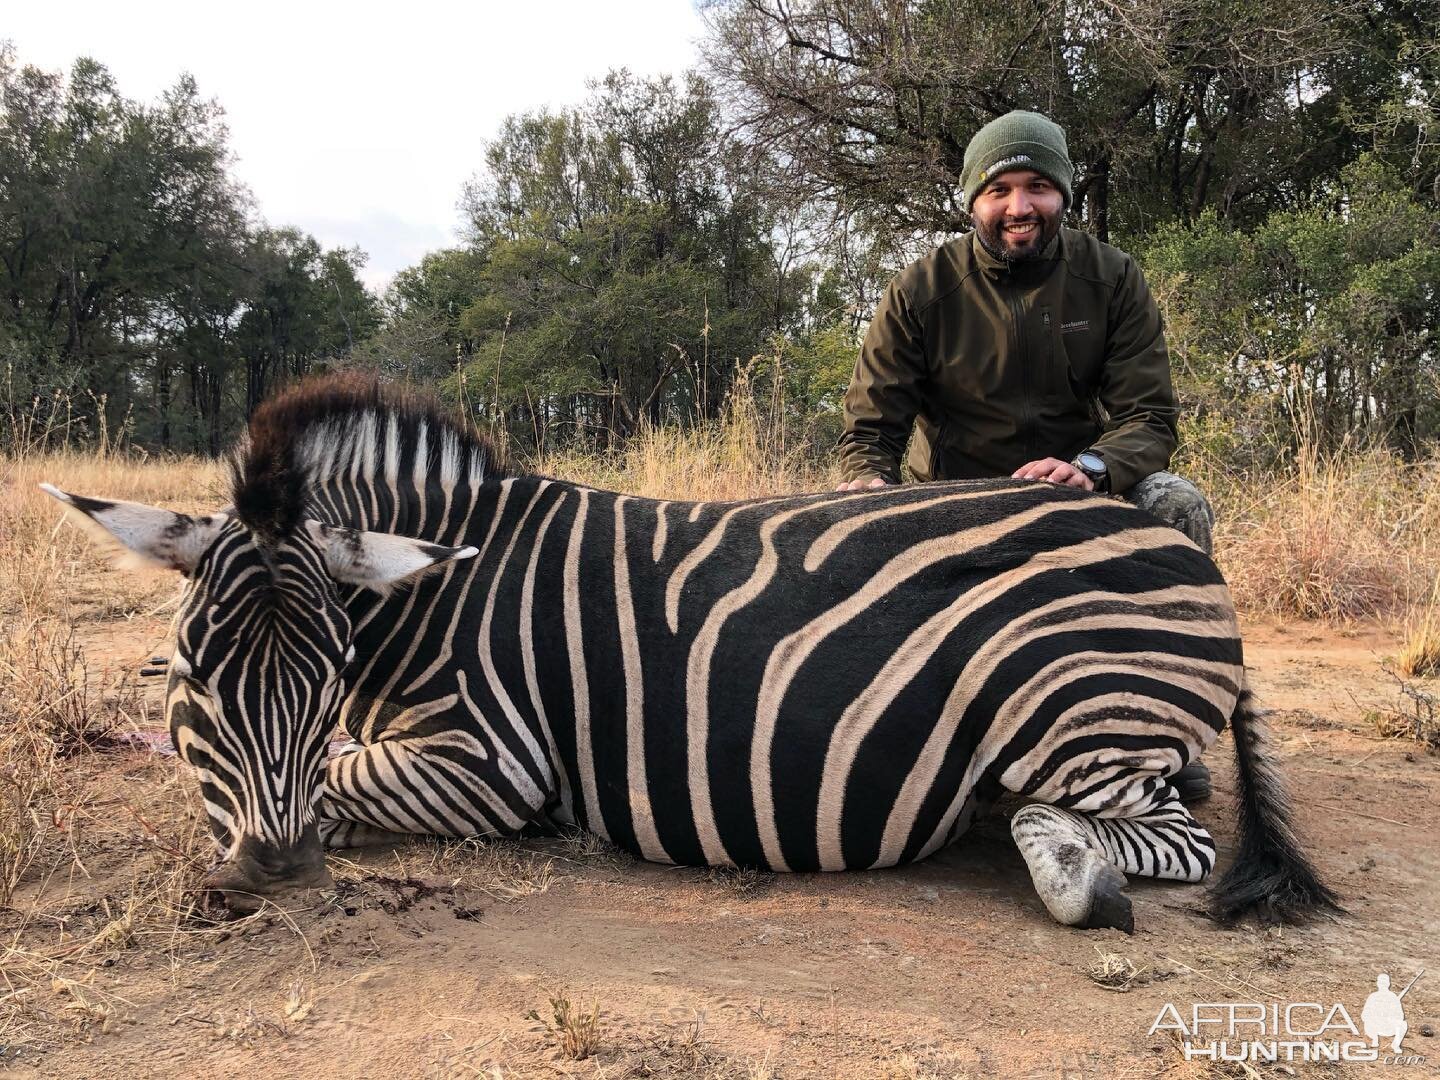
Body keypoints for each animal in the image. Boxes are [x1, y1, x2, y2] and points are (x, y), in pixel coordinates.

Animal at [39, 374, 1336, 933]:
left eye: (325, 674)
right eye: (196, 679)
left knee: (1151, 837)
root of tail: (1172, 539)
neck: (441, 591)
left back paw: (1068, 865)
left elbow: (348, 779)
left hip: (1075, 706)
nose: (276, 872)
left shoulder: (493, 761)